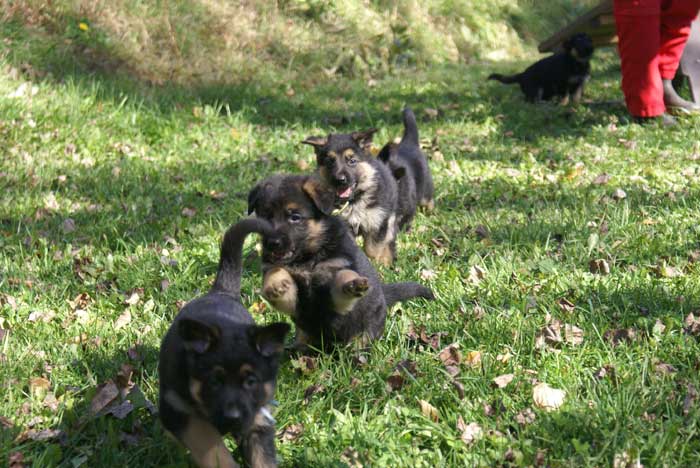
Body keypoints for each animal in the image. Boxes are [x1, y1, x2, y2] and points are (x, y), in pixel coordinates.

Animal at [159, 219, 290, 468]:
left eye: (251, 381)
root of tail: (221, 292)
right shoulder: (181, 411)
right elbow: (212, 447)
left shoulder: (258, 417)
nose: (233, 418)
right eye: (214, 381)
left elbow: (263, 457)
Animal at [246, 174, 432, 350]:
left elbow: (343, 277)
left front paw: (353, 285)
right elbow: (276, 271)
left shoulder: (336, 281)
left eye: (295, 217)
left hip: (369, 326)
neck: (308, 257)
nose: (272, 243)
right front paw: (275, 285)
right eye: (265, 217)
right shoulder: (295, 302)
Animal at [300, 128, 400, 266]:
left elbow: (373, 250)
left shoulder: (378, 222)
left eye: (352, 161)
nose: (340, 180)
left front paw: (376, 265)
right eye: (330, 162)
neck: (353, 202)